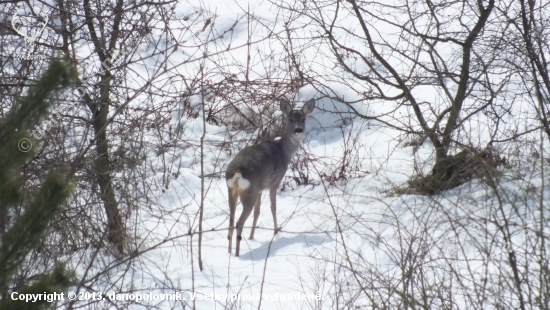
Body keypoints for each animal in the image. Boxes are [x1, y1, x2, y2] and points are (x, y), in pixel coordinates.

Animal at [227, 98, 314, 256]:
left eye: (303, 119)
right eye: (291, 119)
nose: (298, 130)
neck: (284, 152)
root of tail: (237, 172)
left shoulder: (260, 189)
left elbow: (257, 212)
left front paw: (252, 236)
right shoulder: (275, 182)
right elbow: (273, 207)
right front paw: (276, 231)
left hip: (232, 190)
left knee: (230, 222)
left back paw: (229, 253)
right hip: (248, 192)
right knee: (239, 223)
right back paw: (237, 254)